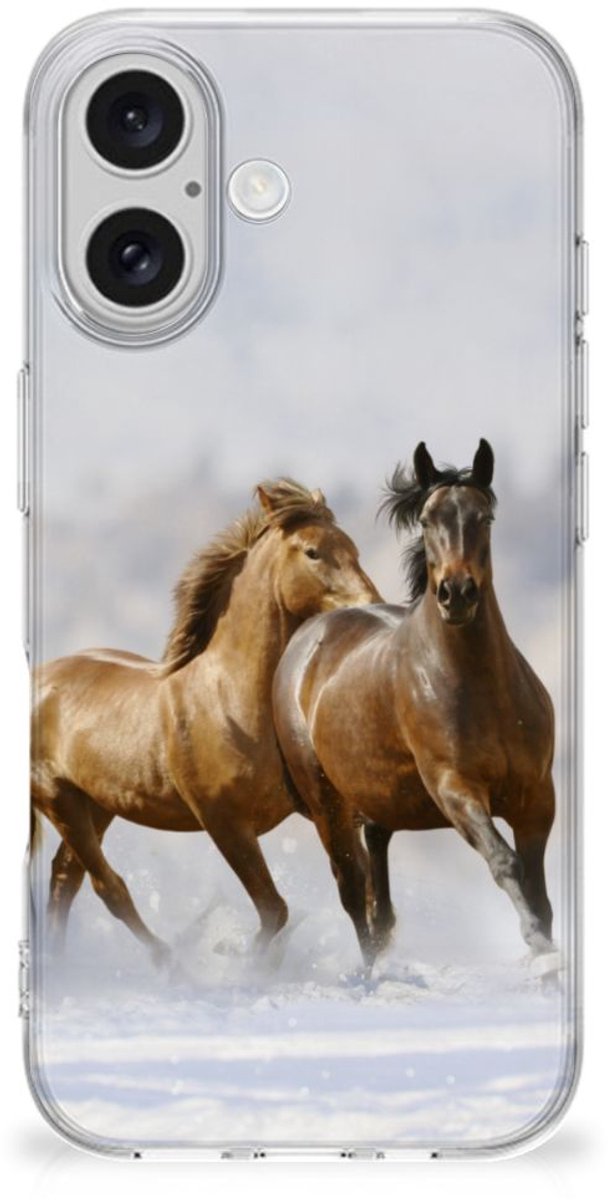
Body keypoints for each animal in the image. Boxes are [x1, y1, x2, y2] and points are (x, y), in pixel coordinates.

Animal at [31, 479, 380, 963]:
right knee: (108, 887)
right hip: (58, 799)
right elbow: (274, 909)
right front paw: (241, 961)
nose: (372, 607)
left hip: (96, 804)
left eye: (353, 548)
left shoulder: (322, 808)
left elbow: (356, 887)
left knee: (67, 877)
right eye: (313, 552)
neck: (231, 702)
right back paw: (168, 961)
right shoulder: (224, 822)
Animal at [272, 441, 556, 969]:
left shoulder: (537, 797)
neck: (482, 691)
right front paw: (540, 948)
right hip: (327, 804)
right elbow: (505, 863)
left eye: (485, 517)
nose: (456, 593)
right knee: (352, 890)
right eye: (426, 520)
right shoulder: (455, 789)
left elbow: (538, 889)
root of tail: (307, 637)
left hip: (377, 799)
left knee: (377, 885)